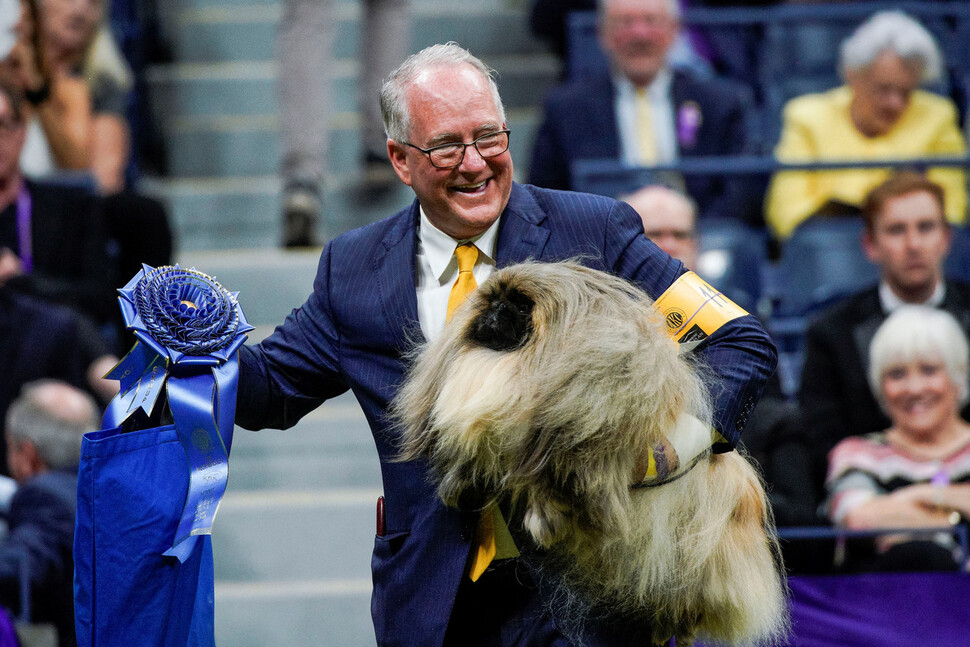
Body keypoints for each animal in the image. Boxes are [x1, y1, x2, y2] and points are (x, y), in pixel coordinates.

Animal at [394, 260, 788, 644]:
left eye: (521, 306)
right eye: (490, 300)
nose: (495, 308)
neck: (511, 363)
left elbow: (545, 481)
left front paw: (542, 522)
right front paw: (460, 484)